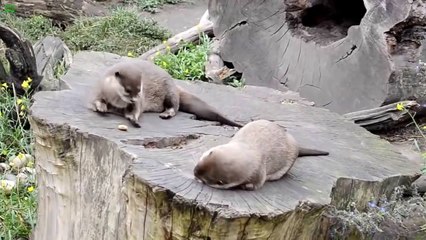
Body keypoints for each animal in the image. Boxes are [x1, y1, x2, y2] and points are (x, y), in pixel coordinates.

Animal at [88, 59, 241, 128]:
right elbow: (96, 101)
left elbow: (136, 110)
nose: (135, 98)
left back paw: (166, 114)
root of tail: (175, 84)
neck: (116, 101)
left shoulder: (139, 101)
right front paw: (101, 108)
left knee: (174, 106)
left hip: (170, 91)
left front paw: (134, 120)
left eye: (140, 89)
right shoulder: (99, 90)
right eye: (128, 90)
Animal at [194, 119, 330, 190]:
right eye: (199, 160)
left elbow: (256, 184)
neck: (247, 148)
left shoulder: (258, 173)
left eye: (206, 179)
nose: (195, 172)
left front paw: (246, 186)